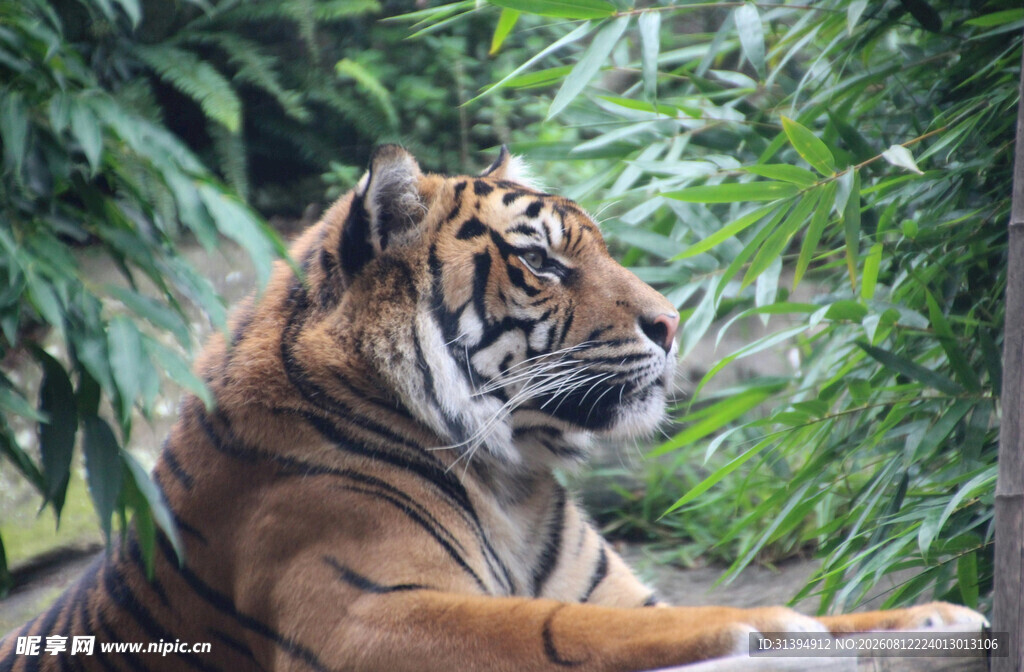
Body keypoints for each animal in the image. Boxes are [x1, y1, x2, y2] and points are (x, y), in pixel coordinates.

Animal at [0, 145, 986, 672]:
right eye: (543, 261)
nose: (673, 325)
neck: (513, 477)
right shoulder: (367, 615)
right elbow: (563, 627)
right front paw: (778, 625)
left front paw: (936, 617)